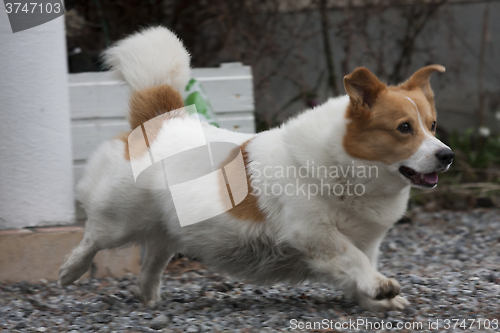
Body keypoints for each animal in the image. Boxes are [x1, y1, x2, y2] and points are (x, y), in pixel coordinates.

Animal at [58, 26, 454, 312]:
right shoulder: (313, 233)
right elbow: (351, 258)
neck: (349, 167)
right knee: (93, 238)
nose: (447, 155)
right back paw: (69, 272)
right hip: (119, 221)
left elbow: (358, 267)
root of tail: (160, 120)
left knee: (151, 261)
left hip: (168, 230)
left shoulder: (365, 242)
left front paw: (376, 297)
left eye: (432, 125)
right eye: (404, 128)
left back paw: (148, 297)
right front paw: (380, 286)